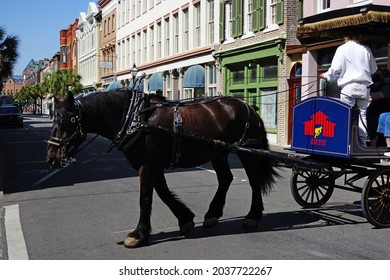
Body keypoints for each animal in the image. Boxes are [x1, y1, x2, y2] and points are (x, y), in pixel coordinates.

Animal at [45, 89, 278, 247]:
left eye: (66, 121)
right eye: (52, 118)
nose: (51, 158)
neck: (135, 118)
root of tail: (249, 107)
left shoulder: (148, 165)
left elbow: (145, 198)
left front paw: (138, 234)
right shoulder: (152, 165)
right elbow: (163, 193)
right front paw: (185, 220)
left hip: (247, 151)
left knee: (254, 180)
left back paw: (252, 216)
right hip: (218, 152)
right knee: (225, 178)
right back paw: (212, 214)